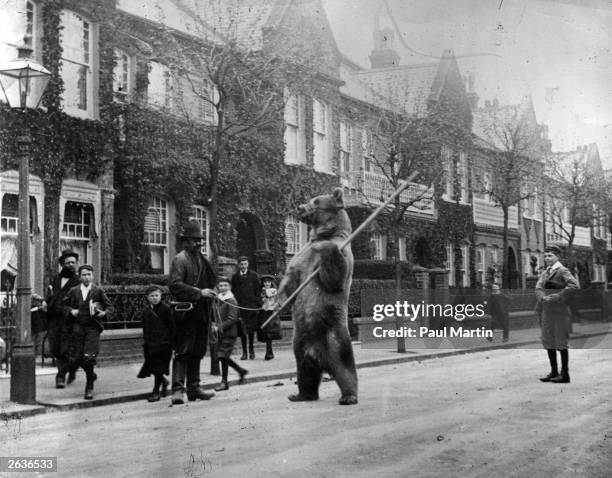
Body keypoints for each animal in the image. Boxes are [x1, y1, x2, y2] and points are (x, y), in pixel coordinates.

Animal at [278, 187, 358, 404]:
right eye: (310, 199)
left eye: (316, 201)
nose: (299, 206)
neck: (322, 234)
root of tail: (320, 357)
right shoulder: (300, 259)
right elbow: (290, 281)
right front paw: (276, 303)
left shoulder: (342, 251)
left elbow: (334, 278)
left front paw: (322, 247)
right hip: (300, 340)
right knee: (305, 370)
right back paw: (300, 394)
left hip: (333, 329)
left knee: (344, 364)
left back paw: (348, 396)